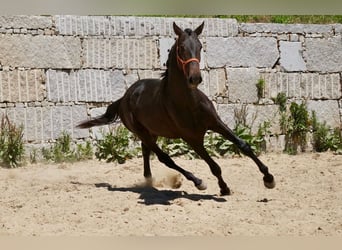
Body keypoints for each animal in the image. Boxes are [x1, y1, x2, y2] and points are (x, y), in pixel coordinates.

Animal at [77, 22, 276, 195]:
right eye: (181, 48)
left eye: (200, 47)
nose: (195, 78)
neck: (188, 103)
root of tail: (124, 98)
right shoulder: (192, 139)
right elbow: (214, 166)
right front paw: (224, 188)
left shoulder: (216, 123)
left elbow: (244, 145)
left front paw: (269, 178)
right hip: (142, 132)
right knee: (165, 158)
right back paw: (197, 181)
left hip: (152, 132)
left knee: (146, 151)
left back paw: (149, 180)